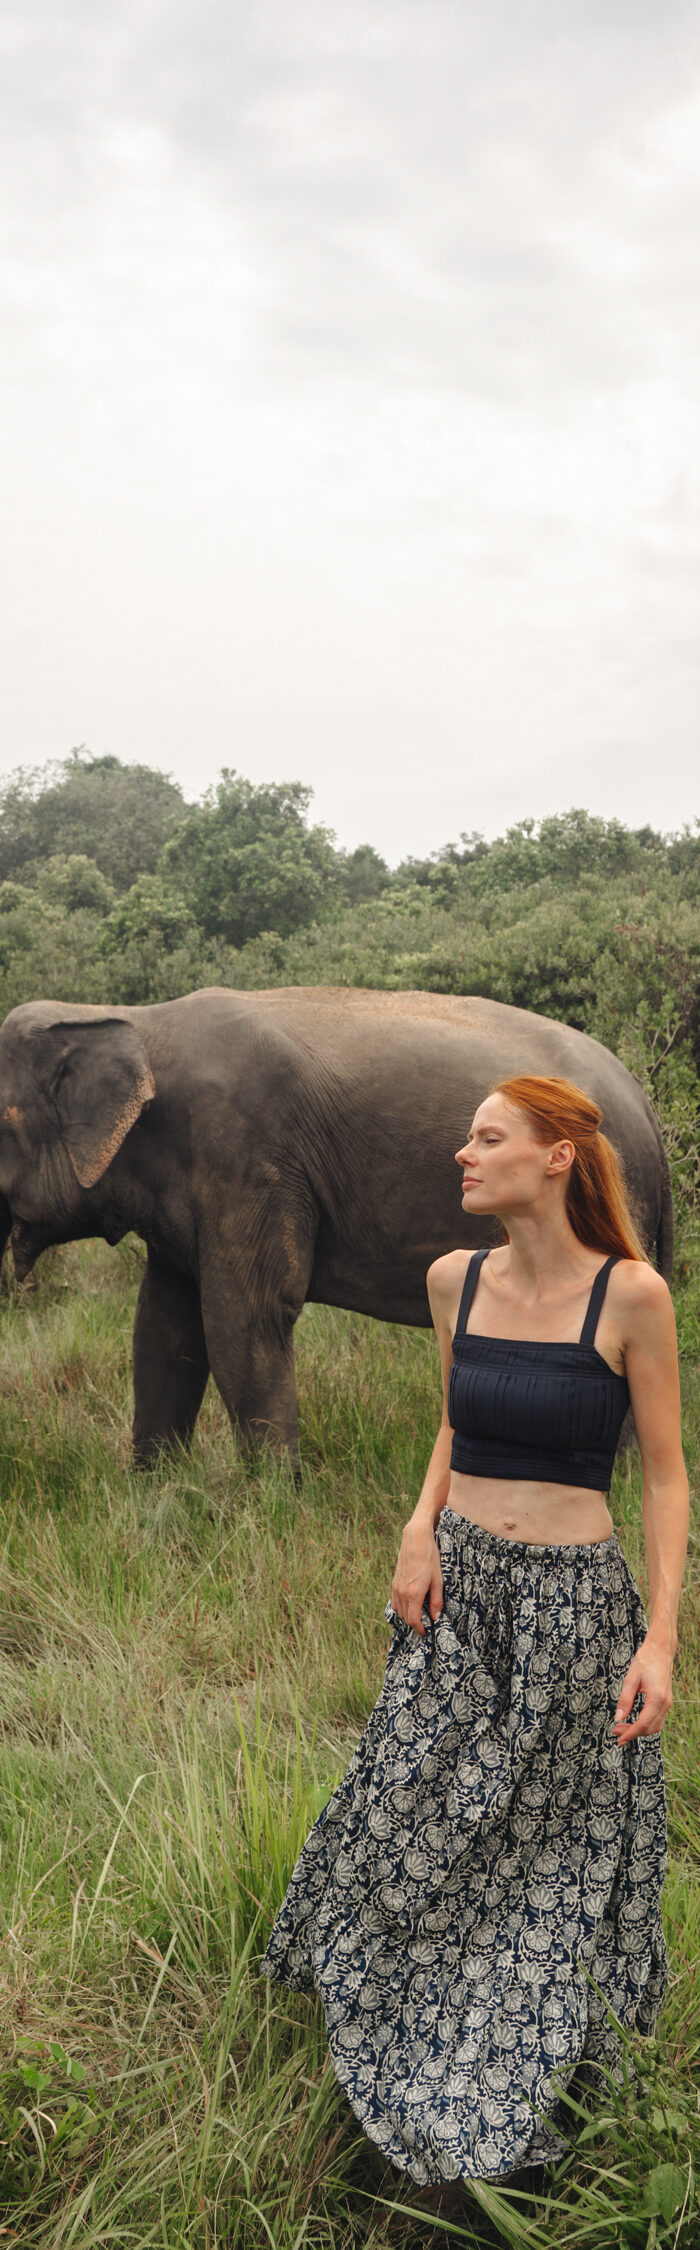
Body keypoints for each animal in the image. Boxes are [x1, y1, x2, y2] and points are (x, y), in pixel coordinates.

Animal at [0, 987, 672, 1465]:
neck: (134, 1020)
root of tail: (645, 1103)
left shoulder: (246, 1154)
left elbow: (246, 1315)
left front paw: (268, 1506)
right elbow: (164, 1328)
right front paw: (155, 1493)